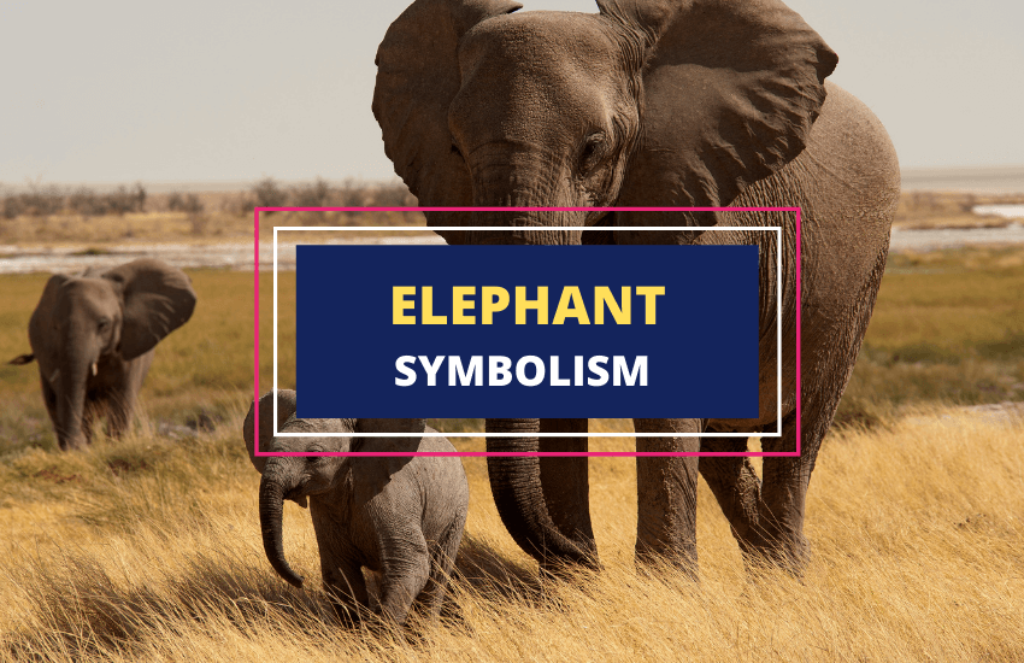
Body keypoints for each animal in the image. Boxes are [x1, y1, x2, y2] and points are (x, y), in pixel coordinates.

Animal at [9, 258, 197, 450]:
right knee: (54, 403)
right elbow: (67, 397)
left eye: (103, 324)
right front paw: (82, 449)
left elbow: (122, 399)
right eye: (55, 327)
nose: (75, 447)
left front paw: (115, 446)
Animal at [243, 389, 469, 627]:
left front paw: (382, 632)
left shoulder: (394, 497)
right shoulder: (326, 508)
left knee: (437, 574)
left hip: (457, 511)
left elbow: (410, 565)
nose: (300, 580)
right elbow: (341, 575)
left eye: (313, 456)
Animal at [373, 0, 900, 575]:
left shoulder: (690, 204)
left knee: (797, 432)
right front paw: (575, 587)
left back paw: (787, 572)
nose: (589, 560)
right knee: (722, 449)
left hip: (859, 279)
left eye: (592, 148)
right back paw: (766, 566)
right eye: (454, 149)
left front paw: (663, 585)